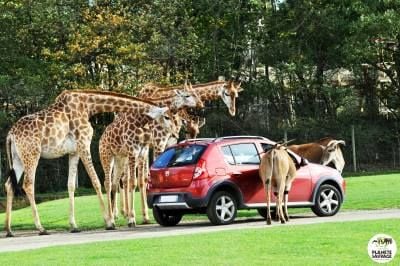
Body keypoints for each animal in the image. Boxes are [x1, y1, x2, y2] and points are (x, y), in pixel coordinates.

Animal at [3, 90, 173, 237]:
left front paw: (74, 225)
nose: (173, 133)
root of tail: (10, 135)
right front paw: (109, 222)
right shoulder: (84, 144)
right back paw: (41, 228)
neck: (88, 107)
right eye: (166, 116)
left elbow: (71, 185)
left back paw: (9, 230)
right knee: (28, 184)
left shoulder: (74, 151)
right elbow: (96, 181)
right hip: (32, 154)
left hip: (18, 158)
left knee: (9, 184)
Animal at [98, 87, 202, 229]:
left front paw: (145, 217)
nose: (200, 104)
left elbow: (144, 179)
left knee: (116, 182)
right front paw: (134, 218)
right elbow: (139, 180)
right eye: (187, 95)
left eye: (197, 132)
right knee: (111, 182)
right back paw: (112, 219)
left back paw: (114, 217)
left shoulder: (150, 148)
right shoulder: (154, 144)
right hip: (110, 157)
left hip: (121, 158)